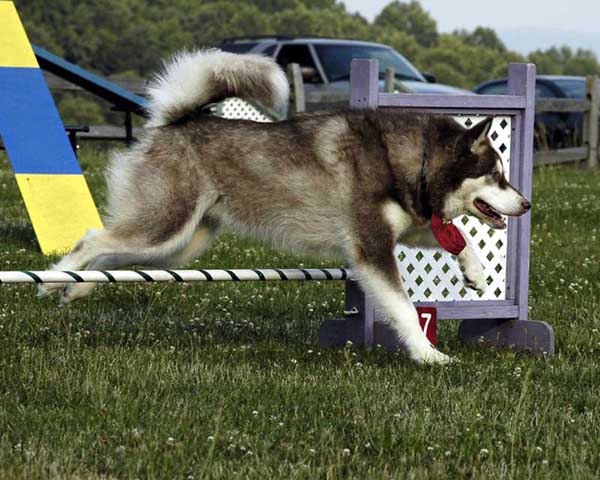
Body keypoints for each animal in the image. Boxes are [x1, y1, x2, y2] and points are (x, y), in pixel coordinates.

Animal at [38, 49, 528, 364]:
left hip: (178, 247)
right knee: (93, 239)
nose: (525, 203)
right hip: (164, 227)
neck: (414, 161)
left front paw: (475, 272)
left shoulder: (403, 227)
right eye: (496, 175)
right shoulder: (371, 248)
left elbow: (458, 238)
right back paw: (55, 279)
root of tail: (177, 120)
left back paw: (77, 290)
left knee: (112, 255)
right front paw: (430, 355)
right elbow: (405, 307)